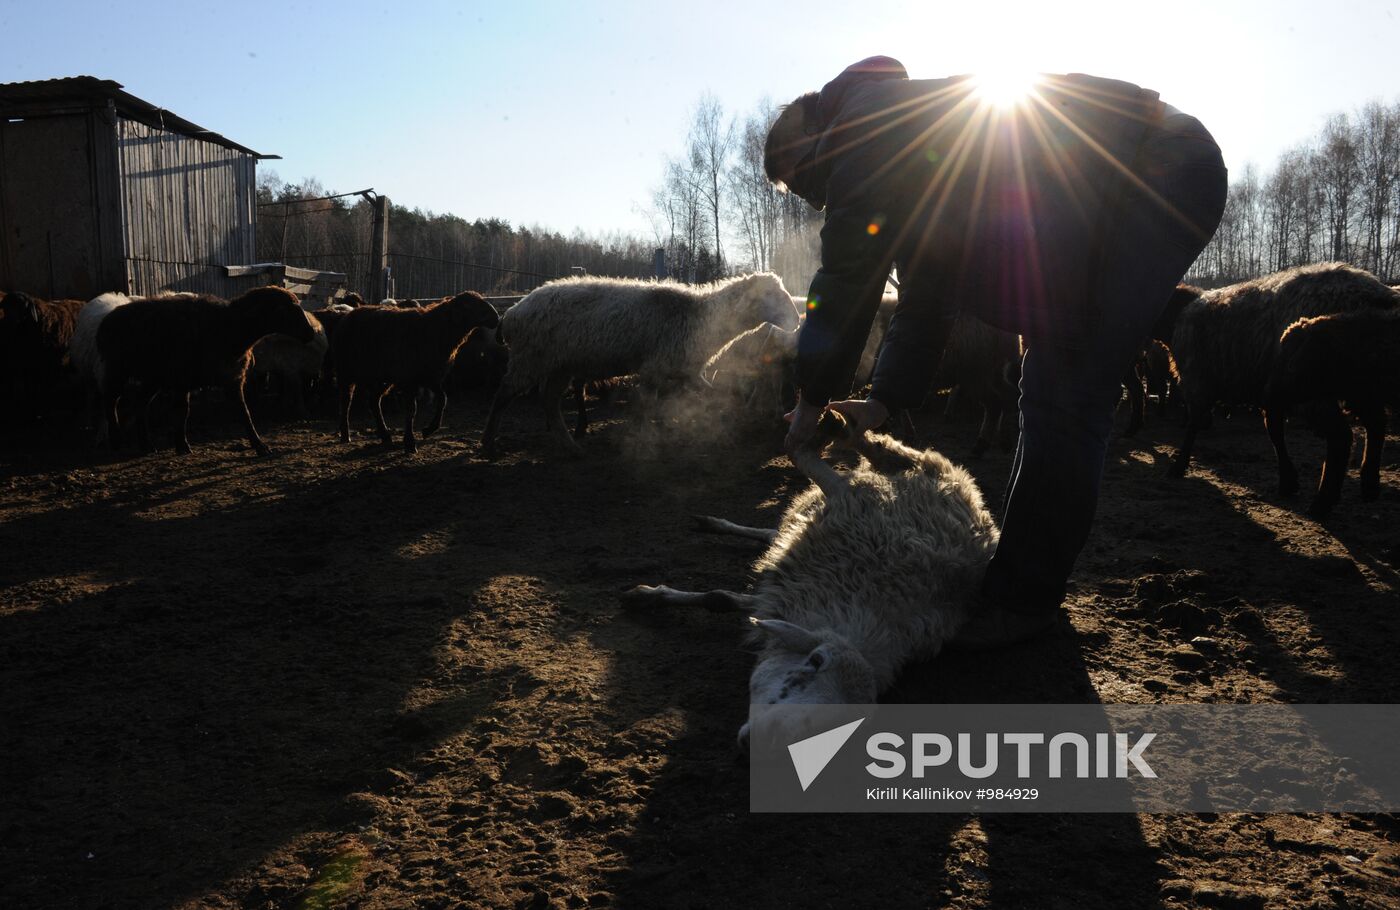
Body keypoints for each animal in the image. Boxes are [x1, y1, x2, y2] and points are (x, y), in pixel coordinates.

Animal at [97, 285, 316, 453]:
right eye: (285, 310)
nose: (311, 333)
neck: (231, 327)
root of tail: (108, 318)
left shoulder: (232, 378)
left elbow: (244, 412)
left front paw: (260, 446)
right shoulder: (183, 378)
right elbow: (182, 411)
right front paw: (182, 446)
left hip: (154, 377)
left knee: (140, 404)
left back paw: (147, 445)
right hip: (118, 368)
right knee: (110, 400)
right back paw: (116, 441)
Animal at [331, 288, 498, 450]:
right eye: (469, 305)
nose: (496, 317)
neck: (437, 330)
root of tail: (348, 315)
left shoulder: (430, 377)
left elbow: (443, 399)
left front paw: (429, 430)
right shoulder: (410, 379)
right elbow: (412, 409)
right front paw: (410, 442)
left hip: (383, 377)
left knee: (373, 400)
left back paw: (385, 435)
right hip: (346, 370)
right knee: (346, 401)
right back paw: (346, 435)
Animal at [481, 267, 800, 453]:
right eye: (769, 293)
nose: (797, 320)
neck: (700, 316)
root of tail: (513, 311)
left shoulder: (682, 370)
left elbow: (708, 396)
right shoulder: (656, 367)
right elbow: (646, 406)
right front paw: (643, 438)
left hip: (558, 364)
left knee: (549, 401)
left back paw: (568, 444)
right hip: (530, 358)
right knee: (503, 394)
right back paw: (488, 443)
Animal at [621, 414, 996, 750]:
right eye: (814, 662)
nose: (762, 743)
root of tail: (979, 506)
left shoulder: (794, 584)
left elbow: (725, 598)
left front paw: (654, 595)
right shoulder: (850, 502)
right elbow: (801, 455)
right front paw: (647, 595)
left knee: (774, 533)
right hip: (906, 470)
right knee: (870, 447)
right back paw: (840, 426)